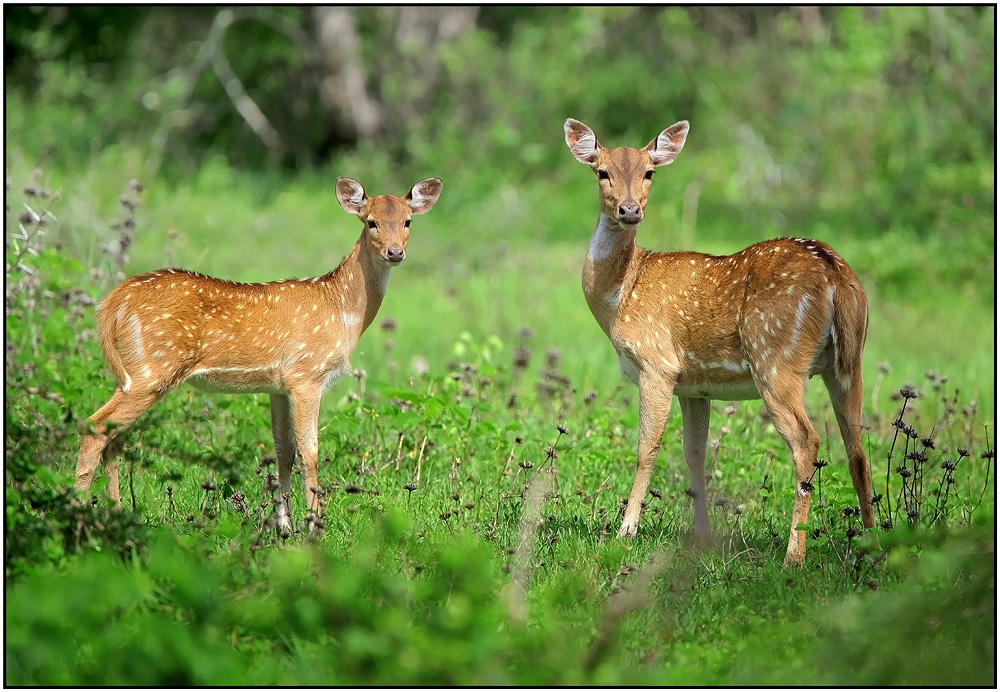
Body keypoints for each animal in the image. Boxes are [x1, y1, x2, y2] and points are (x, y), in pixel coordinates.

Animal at [74, 176, 442, 532]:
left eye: (408, 221)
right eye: (371, 222)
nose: (395, 252)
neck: (341, 310)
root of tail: (112, 304)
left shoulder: (277, 386)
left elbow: (283, 450)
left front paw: (284, 527)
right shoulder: (307, 376)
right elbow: (310, 451)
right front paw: (314, 527)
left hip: (133, 373)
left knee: (113, 438)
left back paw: (117, 513)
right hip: (153, 368)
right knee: (96, 427)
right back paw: (78, 511)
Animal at [564, 117, 876, 564]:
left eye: (649, 172)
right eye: (601, 171)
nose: (630, 210)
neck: (621, 292)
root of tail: (836, 275)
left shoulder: (656, 364)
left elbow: (647, 448)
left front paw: (626, 530)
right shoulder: (695, 385)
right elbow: (694, 452)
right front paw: (703, 536)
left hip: (775, 359)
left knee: (808, 440)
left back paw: (793, 556)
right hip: (850, 361)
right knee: (858, 447)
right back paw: (873, 543)